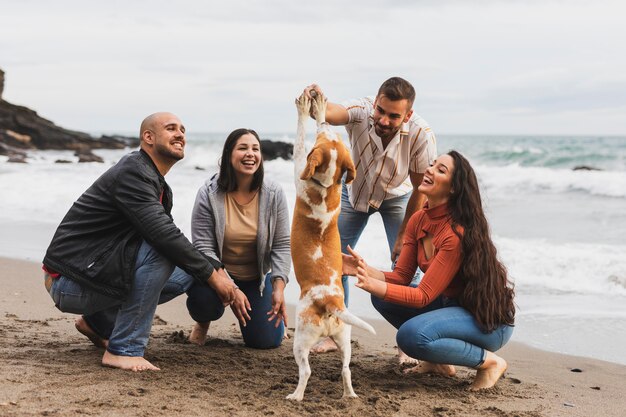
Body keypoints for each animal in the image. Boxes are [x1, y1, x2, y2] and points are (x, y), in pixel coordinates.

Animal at [288, 91, 376, 400]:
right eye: (331, 138)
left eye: (322, 138)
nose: (326, 123)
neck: (325, 185)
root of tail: (330, 302)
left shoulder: (299, 165)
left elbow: (299, 139)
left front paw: (307, 108)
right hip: (344, 339)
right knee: (346, 370)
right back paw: (349, 396)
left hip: (301, 341)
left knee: (306, 371)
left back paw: (296, 396)